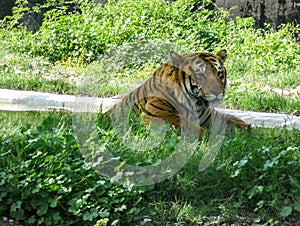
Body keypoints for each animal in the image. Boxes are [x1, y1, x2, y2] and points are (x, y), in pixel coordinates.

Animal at [109, 49, 248, 137]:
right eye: (200, 75)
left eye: (219, 74)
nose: (217, 92)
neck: (196, 103)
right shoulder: (155, 110)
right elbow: (182, 121)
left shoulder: (210, 116)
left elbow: (235, 120)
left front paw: (250, 131)